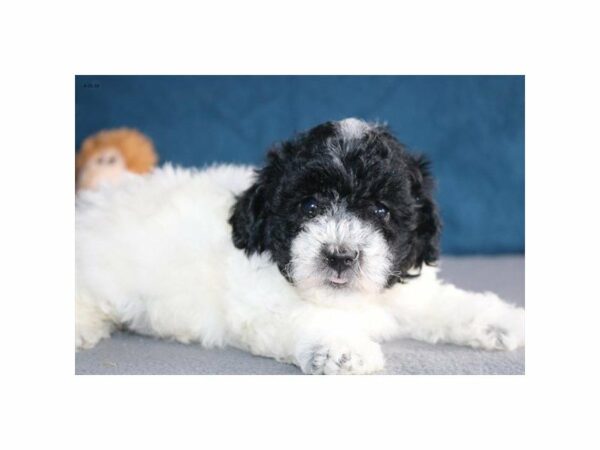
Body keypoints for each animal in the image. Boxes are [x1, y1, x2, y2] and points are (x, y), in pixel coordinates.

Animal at [76, 118, 524, 374]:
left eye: (380, 210)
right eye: (309, 205)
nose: (340, 256)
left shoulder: (404, 291)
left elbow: (446, 304)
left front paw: (501, 321)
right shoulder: (262, 309)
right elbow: (307, 320)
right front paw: (343, 349)